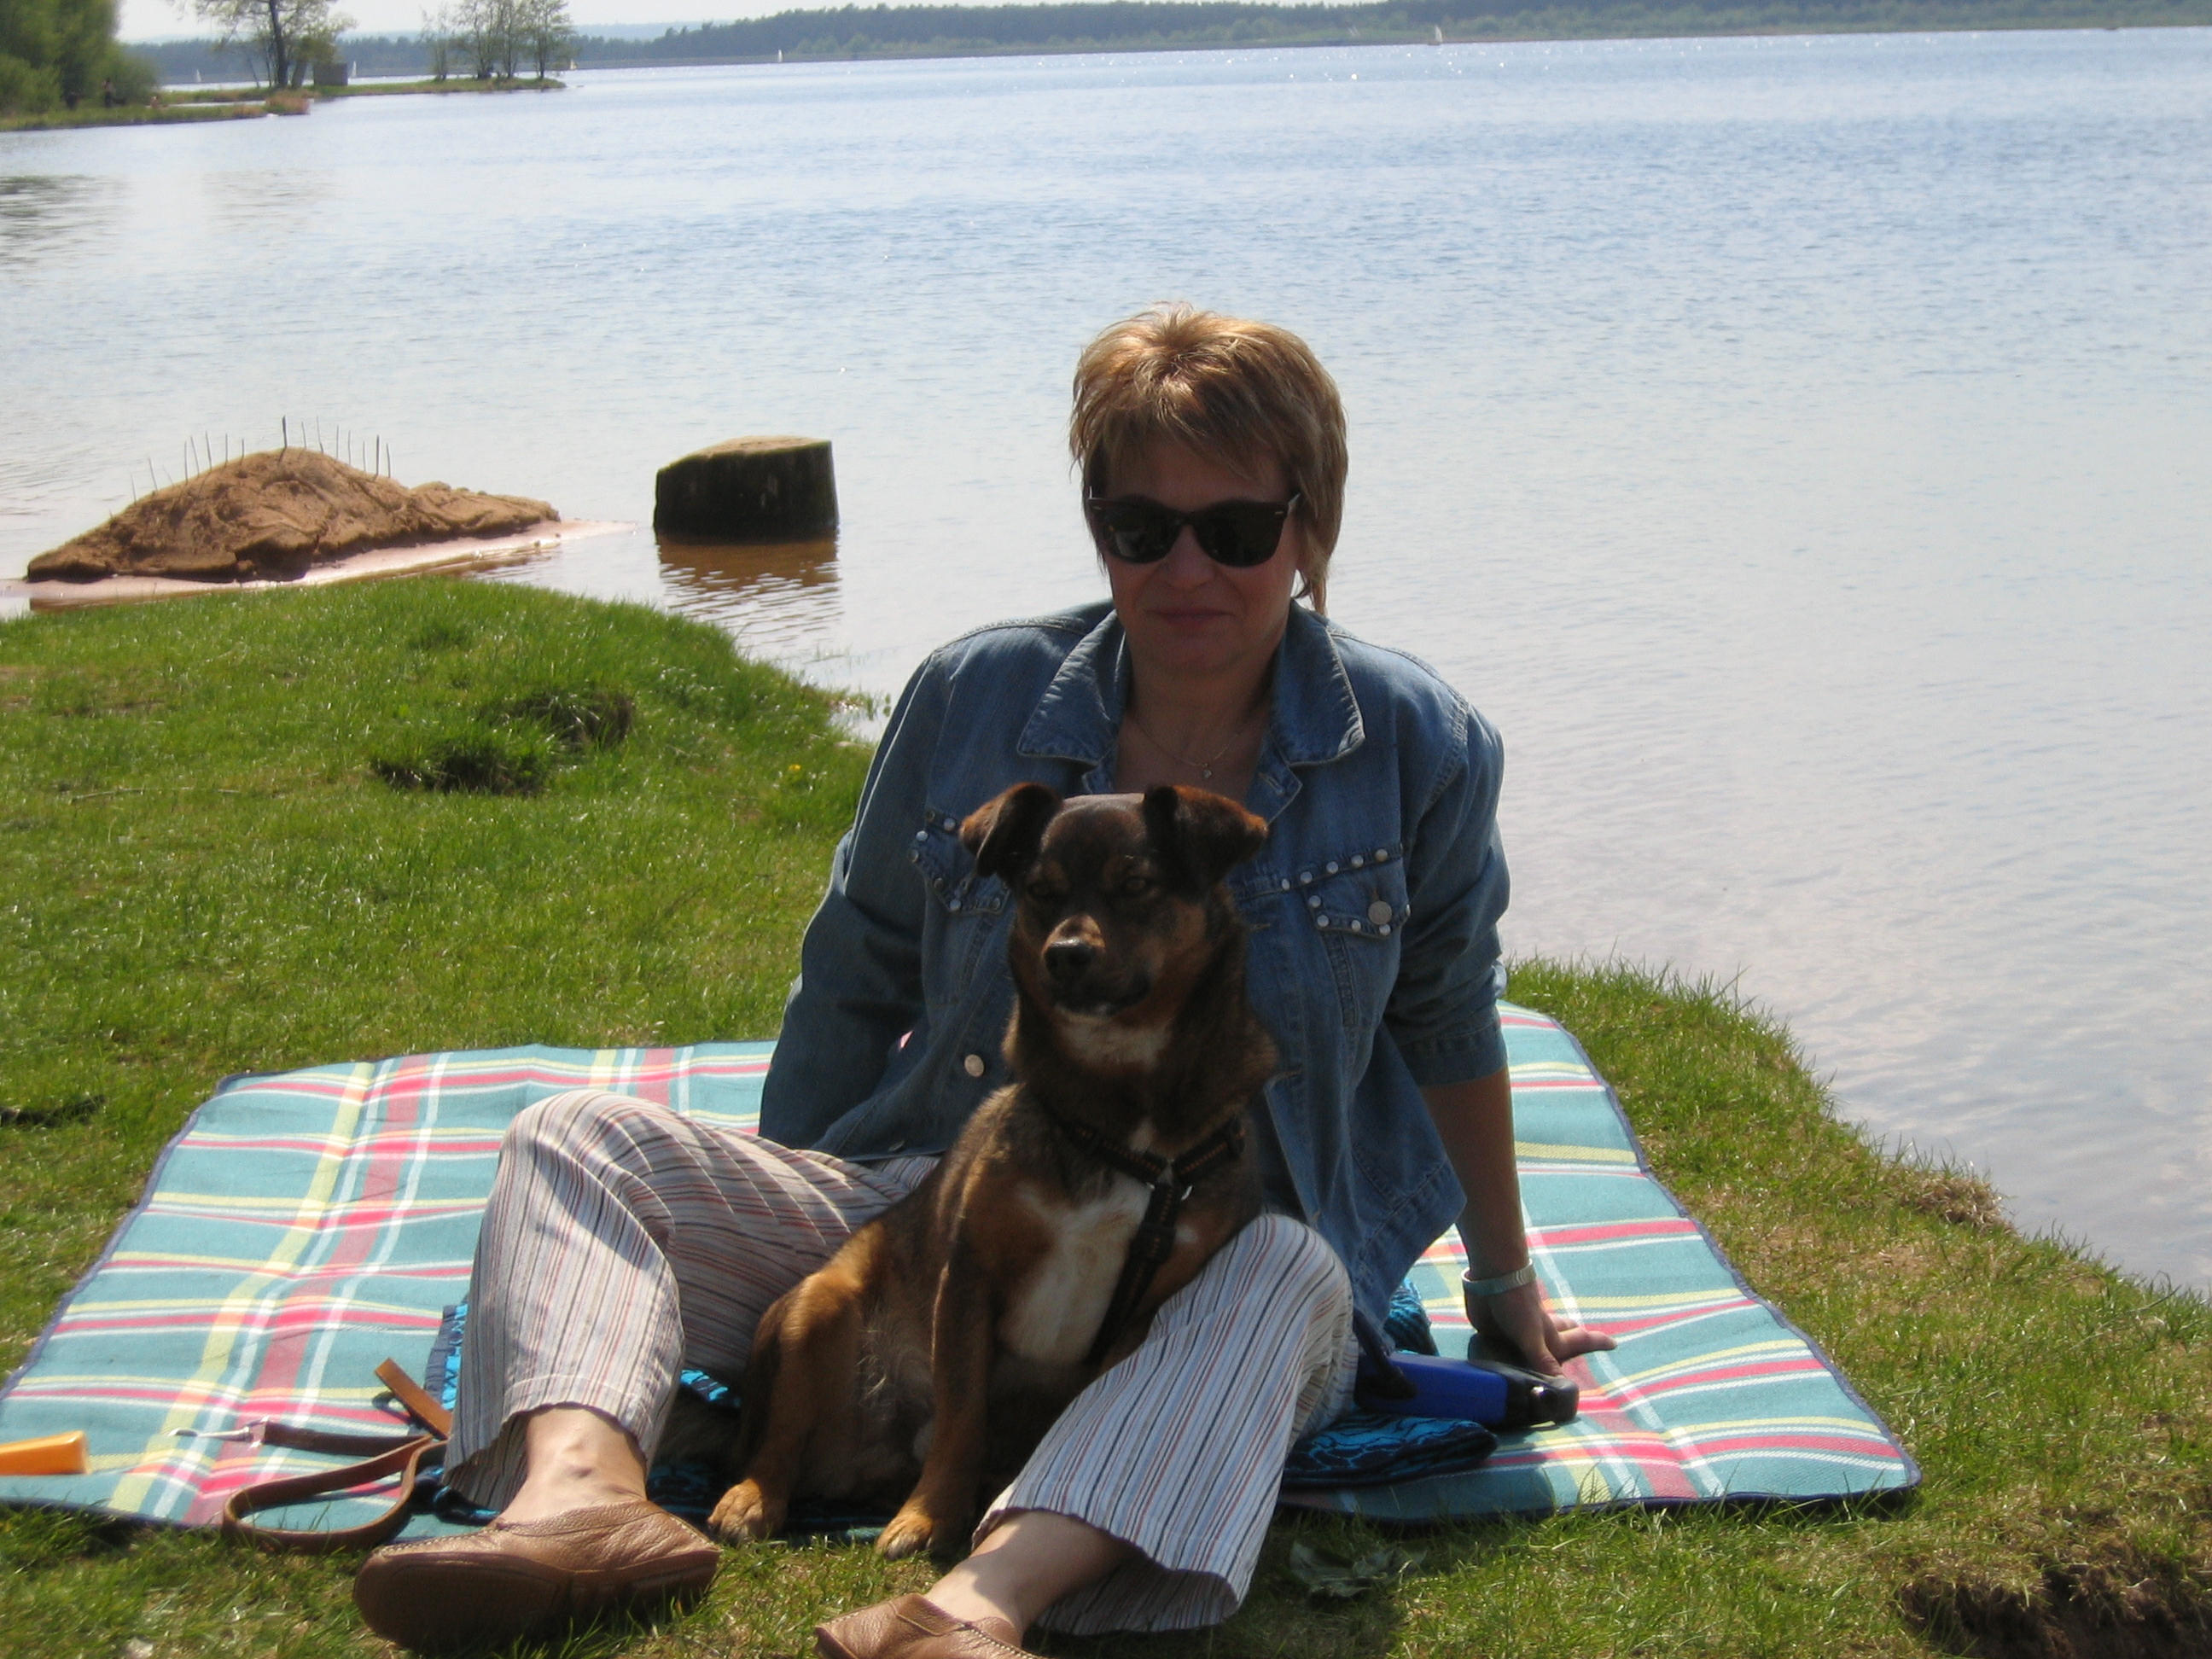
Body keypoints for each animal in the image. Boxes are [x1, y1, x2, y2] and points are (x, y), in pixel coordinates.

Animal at [701, 781, 1276, 1559]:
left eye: (1136, 885)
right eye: (1039, 891)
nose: (1066, 954)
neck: (1116, 1108)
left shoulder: (1144, 1307)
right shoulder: (971, 1275)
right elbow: (960, 1415)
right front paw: (930, 1516)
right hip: (819, 1306)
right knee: (779, 1445)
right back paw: (752, 1499)